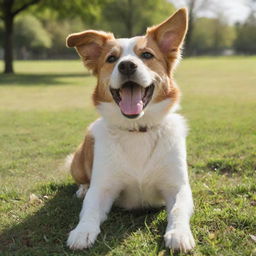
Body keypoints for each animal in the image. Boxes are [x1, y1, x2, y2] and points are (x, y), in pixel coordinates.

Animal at [65, 8, 194, 252]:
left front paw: (179, 233)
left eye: (147, 55)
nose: (126, 65)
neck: (137, 130)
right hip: (78, 162)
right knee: (83, 181)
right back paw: (82, 189)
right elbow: (89, 209)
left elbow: (178, 209)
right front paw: (82, 232)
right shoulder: (103, 187)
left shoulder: (178, 186)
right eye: (111, 59)